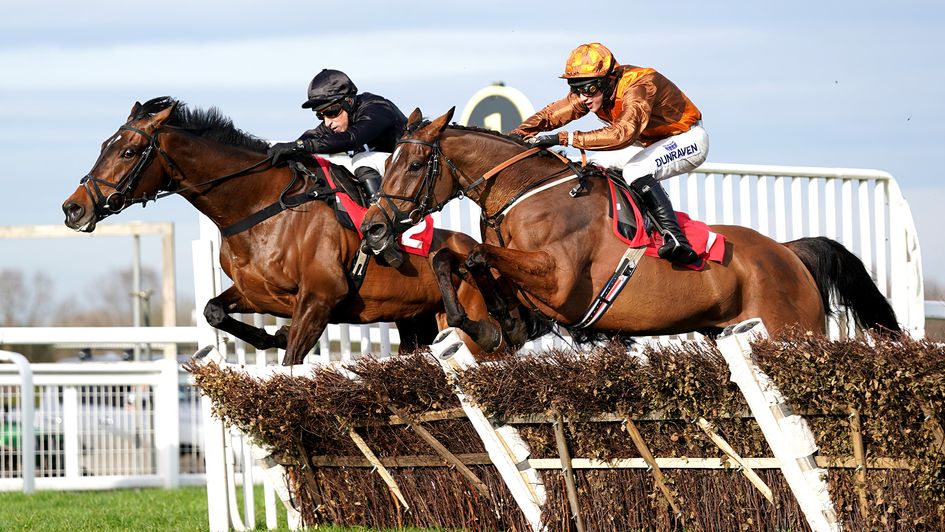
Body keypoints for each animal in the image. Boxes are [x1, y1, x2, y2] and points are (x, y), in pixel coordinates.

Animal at [62, 96, 540, 366]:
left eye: (128, 151)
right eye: (104, 146)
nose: (73, 208)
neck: (260, 207)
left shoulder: (321, 297)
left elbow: (293, 358)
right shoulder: (255, 292)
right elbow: (215, 311)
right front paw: (268, 335)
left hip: (470, 326)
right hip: (415, 322)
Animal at [362, 107, 900, 350]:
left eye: (414, 165)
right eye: (386, 162)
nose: (373, 228)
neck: (524, 193)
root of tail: (788, 252)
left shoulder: (559, 280)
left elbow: (477, 256)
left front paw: (492, 322)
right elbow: (451, 257)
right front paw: (489, 322)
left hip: (792, 331)